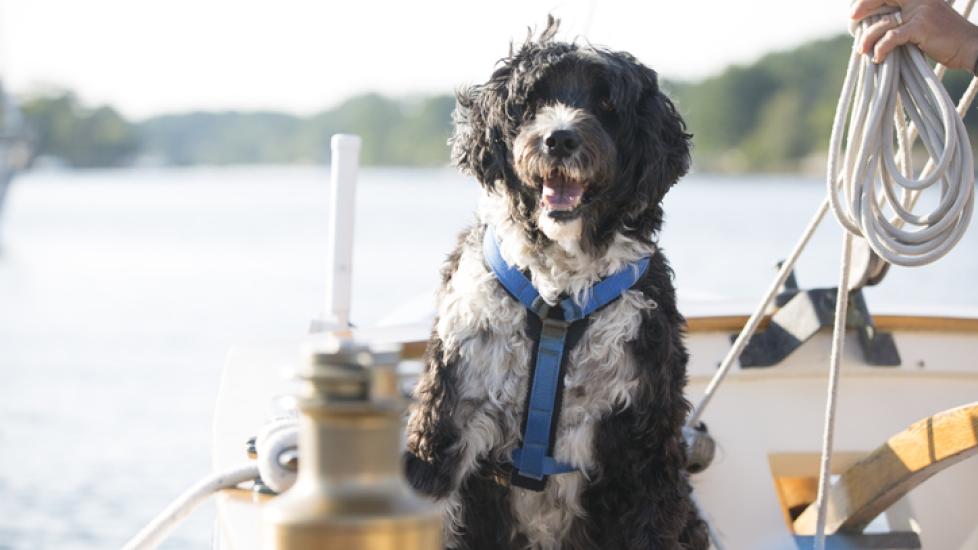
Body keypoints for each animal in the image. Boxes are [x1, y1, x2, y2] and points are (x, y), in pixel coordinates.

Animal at [400, 17, 704, 550]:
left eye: (607, 105)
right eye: (532, 102)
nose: (558, 139)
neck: (558, 296)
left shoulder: (644, 445)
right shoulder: (447, 419)